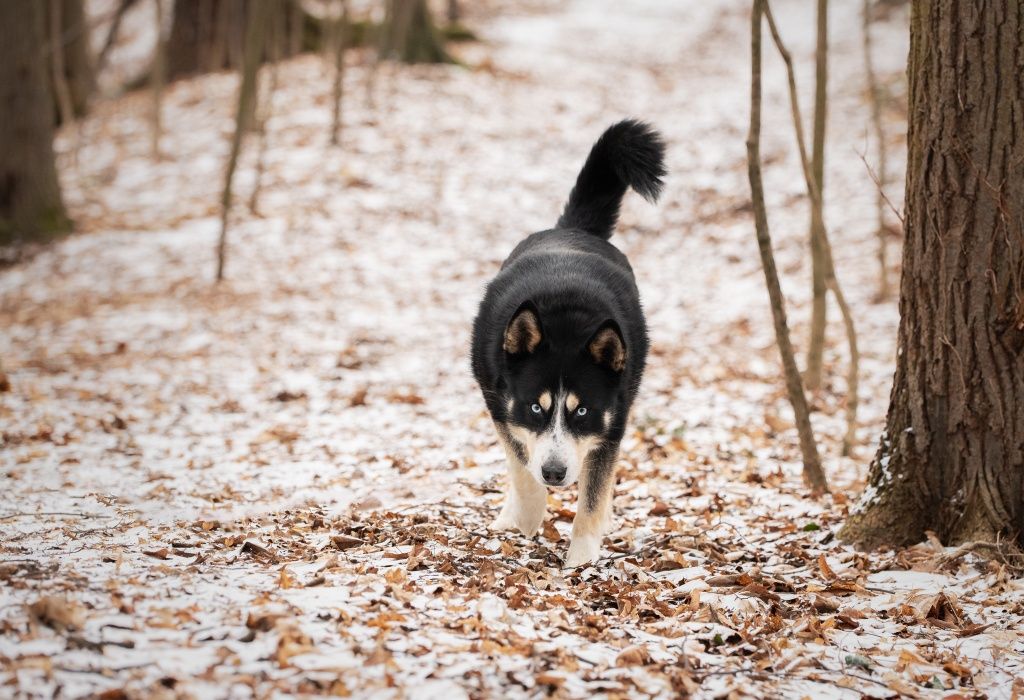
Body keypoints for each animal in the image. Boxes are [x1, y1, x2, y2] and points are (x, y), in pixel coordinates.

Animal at [468, 120, 663, 564]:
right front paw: (526, 518)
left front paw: (581, 561)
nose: (555, 473)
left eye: (583, 410)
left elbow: (592, 496)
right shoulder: (501, 405)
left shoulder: (612, 423)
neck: (565, 322)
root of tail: (572, 230)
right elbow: (522, 468)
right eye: (536, 407)